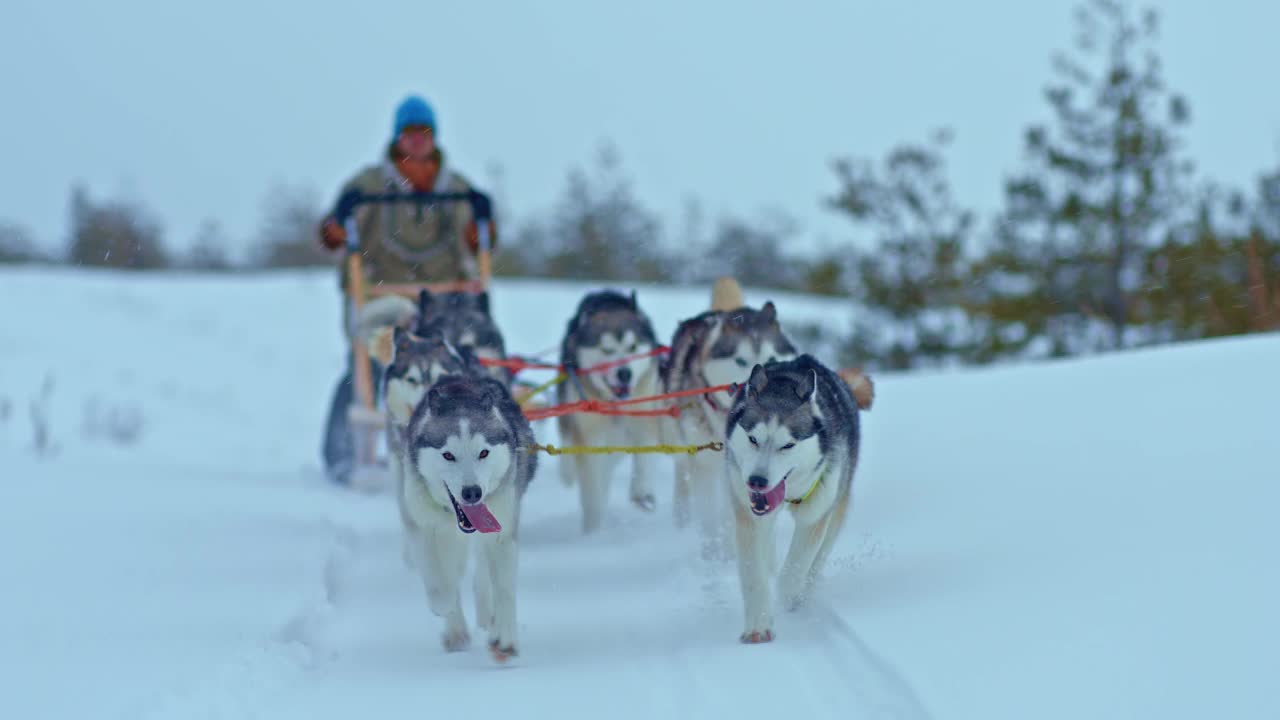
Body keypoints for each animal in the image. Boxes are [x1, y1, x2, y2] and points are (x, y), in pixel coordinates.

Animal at [401, 371, 537, 661]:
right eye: (448, 455)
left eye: (483, 452)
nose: (472, 492)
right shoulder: (422, 526)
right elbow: (439, 581)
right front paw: (444, 606)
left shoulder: (502, 531)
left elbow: (504, 588)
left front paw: (506, 639)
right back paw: (456, 631)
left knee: (482, 573)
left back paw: (487, 616)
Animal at [558, 288, 665, 530]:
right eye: (606, 349)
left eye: (633, 347)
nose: (624, 373)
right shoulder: (589, 434)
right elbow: (592, 488)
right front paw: (594, 529)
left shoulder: (646, 415)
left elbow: (645, 457)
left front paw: (642, 493)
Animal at [721, 353, 860, 638]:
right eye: (752, 439)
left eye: (788, 445)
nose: (757, 481)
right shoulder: (749, 516)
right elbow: (754, 571)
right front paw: (758, 625)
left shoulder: (815, 515)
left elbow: (798, 564)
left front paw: (788, 595)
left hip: (836, 504)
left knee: (820, 555)